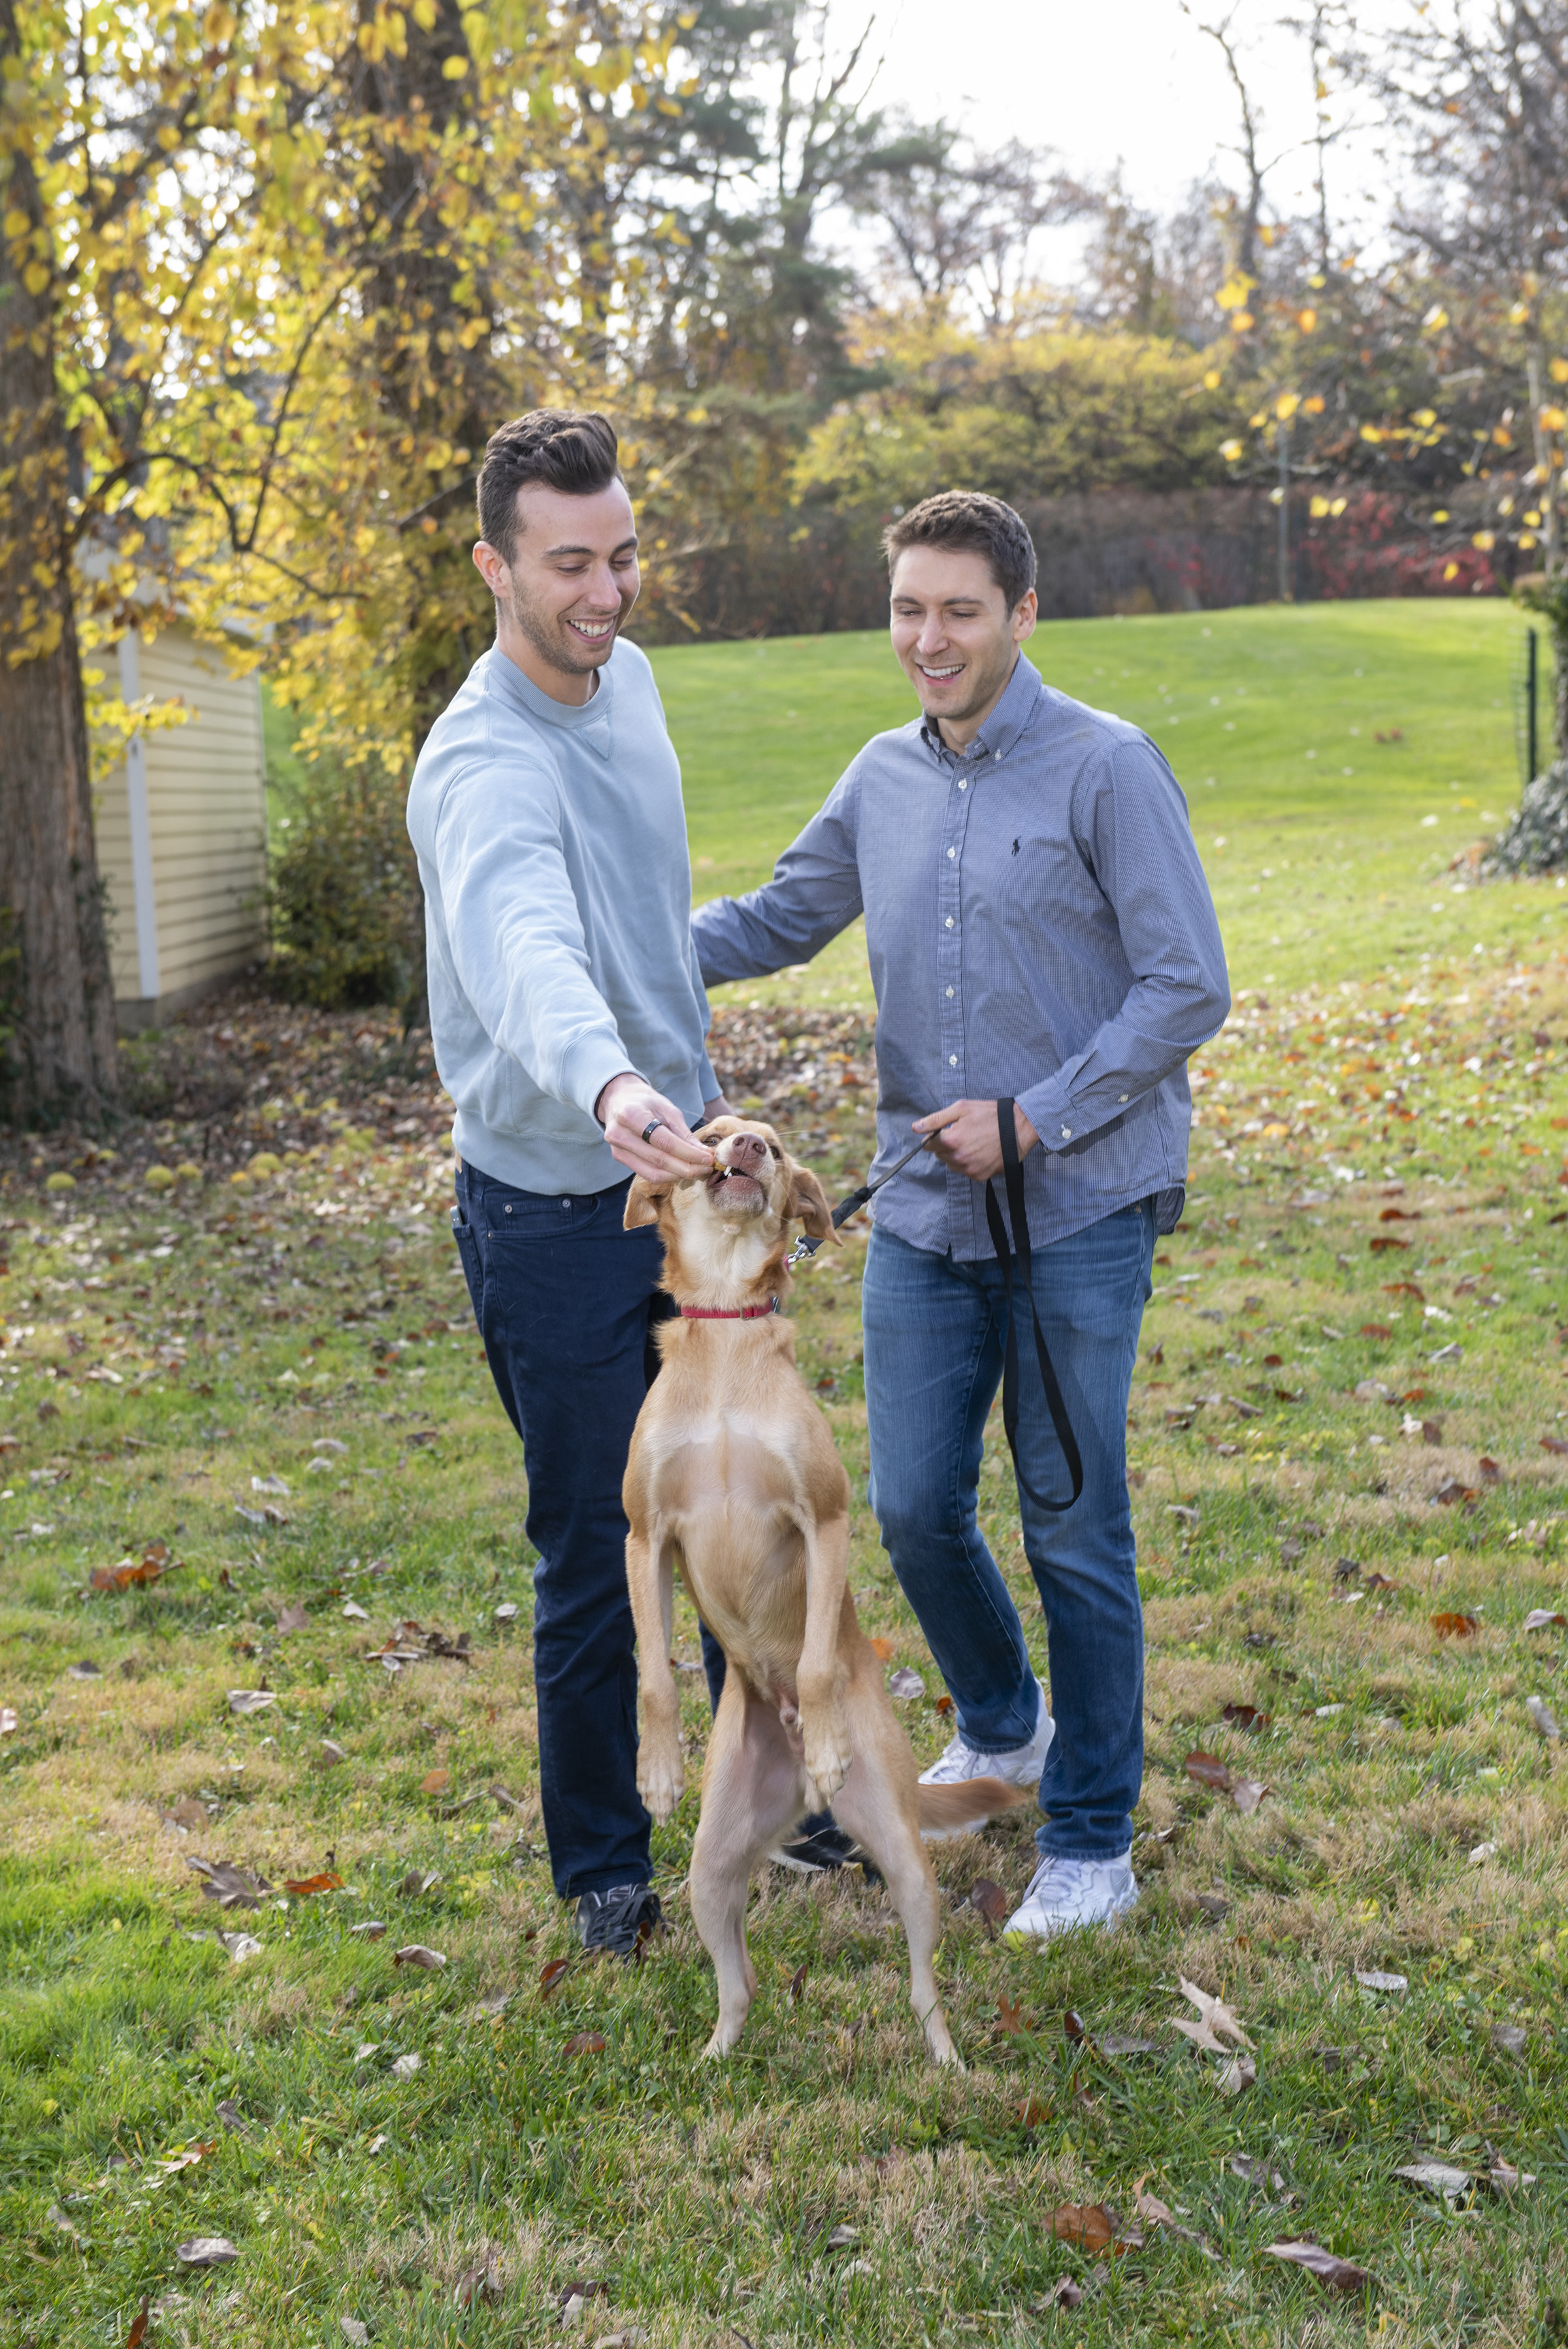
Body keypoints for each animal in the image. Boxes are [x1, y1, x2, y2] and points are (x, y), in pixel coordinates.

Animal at [622, 1115, 1028, 2065]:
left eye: (770, 1141)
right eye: (708, 1131)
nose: (748, 1149)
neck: (728, 1340)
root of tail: (794, 1800)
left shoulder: (827, 1519)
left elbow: (810, 1662)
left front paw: (829, 1741)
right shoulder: (643, 1535)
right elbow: (653, 1675)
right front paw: (656, 1769)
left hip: (906, 1862)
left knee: (924, 1986)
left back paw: (947, 2060)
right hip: (711, 1868)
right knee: (739, 1984)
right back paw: (715, 2058)